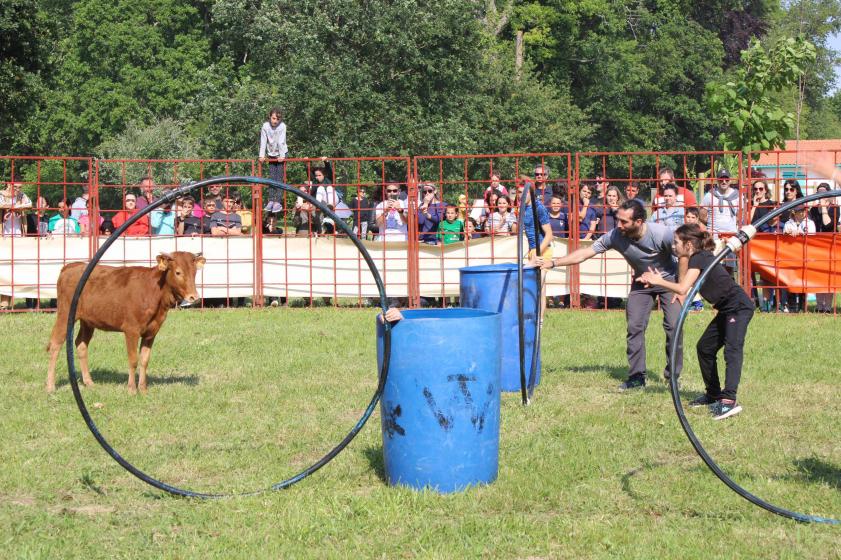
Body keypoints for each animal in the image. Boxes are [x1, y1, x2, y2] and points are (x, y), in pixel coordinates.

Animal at [46, 253, 205, 394]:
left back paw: (89, 382)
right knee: (55, 344)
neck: (155, 292)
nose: (194, 297)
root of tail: (71, 266)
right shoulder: (131, 330)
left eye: (195, 272)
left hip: (87, 321)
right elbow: (133, 359)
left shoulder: (151, 332)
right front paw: (132, 389)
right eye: (178, 272)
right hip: (65, 314)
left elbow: (144, 359)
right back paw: (50, 386)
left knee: (81, 344)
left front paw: (143, 389)